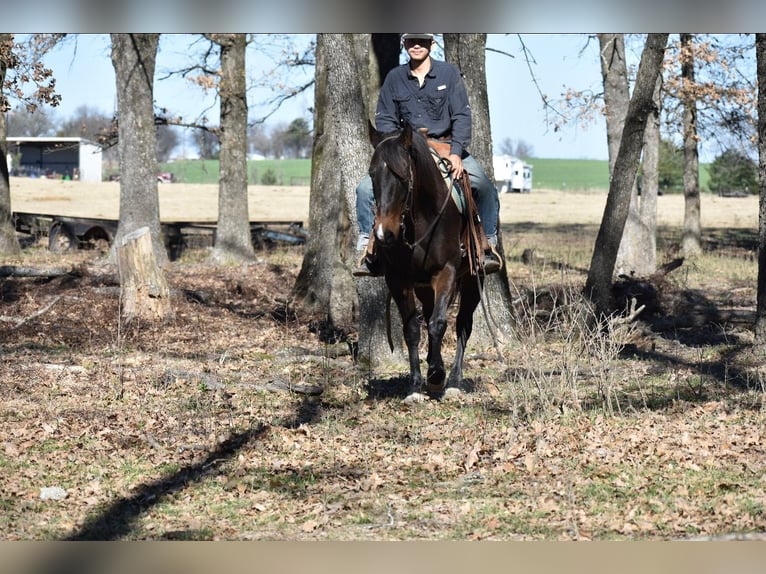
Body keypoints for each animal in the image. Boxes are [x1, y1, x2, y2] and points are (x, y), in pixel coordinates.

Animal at [367, 121, 484, 399]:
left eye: (402, 175)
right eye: (372, 174)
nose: (384, 234)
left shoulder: (446, 272)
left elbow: (438, 323)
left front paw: (436, 377)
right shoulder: (397, 279)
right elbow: (412, 329)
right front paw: (415, 385)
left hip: (472, 281)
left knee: (463, 324)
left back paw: (453, 381)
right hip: (423, 287)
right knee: (431, 313)